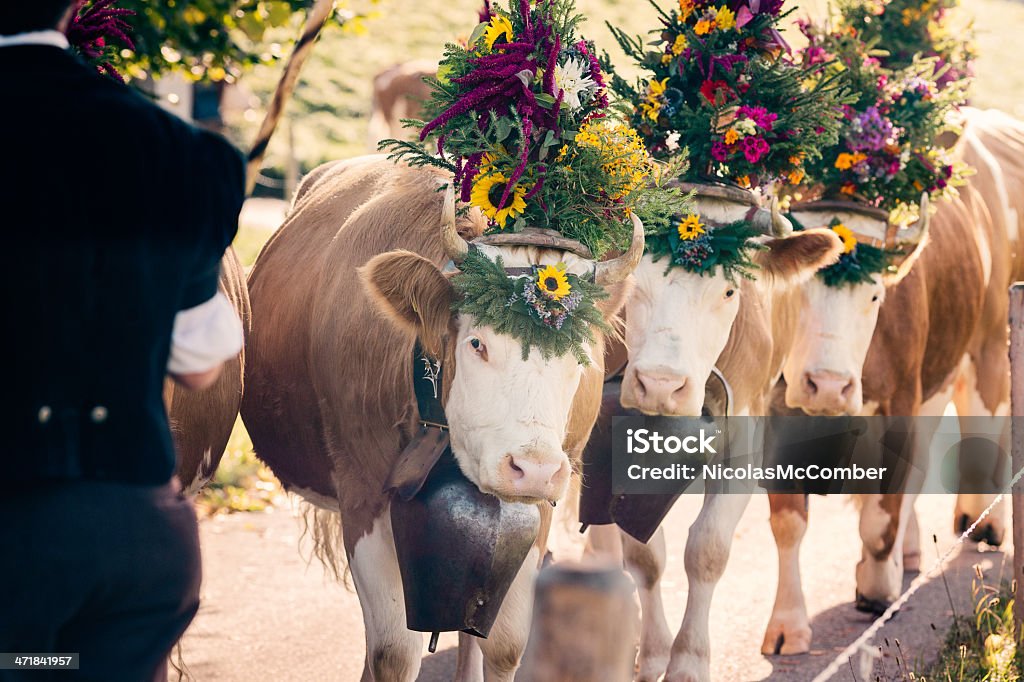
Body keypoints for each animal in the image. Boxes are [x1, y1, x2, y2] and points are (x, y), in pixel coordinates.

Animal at [239, 155, 638, 679]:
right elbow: (392, 651)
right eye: (477, 343)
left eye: (582, 355)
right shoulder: (362, 493)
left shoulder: (543, 503)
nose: (533, 469)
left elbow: (505, 645)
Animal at [581, 183, 843, 675]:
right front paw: (653, 655)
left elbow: (707, 551)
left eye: (727, 290)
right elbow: (645, 556)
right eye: (635, 287)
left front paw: (687, 664)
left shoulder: (744, 448)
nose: (660, 383)